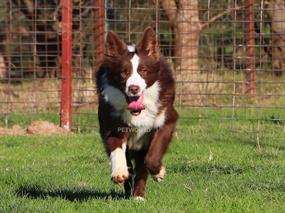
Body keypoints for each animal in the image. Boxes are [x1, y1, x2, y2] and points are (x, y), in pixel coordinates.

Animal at [96, 27, 178, 200]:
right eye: (123, 73)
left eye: (144, 71)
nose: (134, 88)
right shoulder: (112, 123)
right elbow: (116, 148)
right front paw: (119, 172)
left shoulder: (167, 119)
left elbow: (151, 158)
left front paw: (159, 173)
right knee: (131, 166)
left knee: (142, 165)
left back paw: (138, 196)